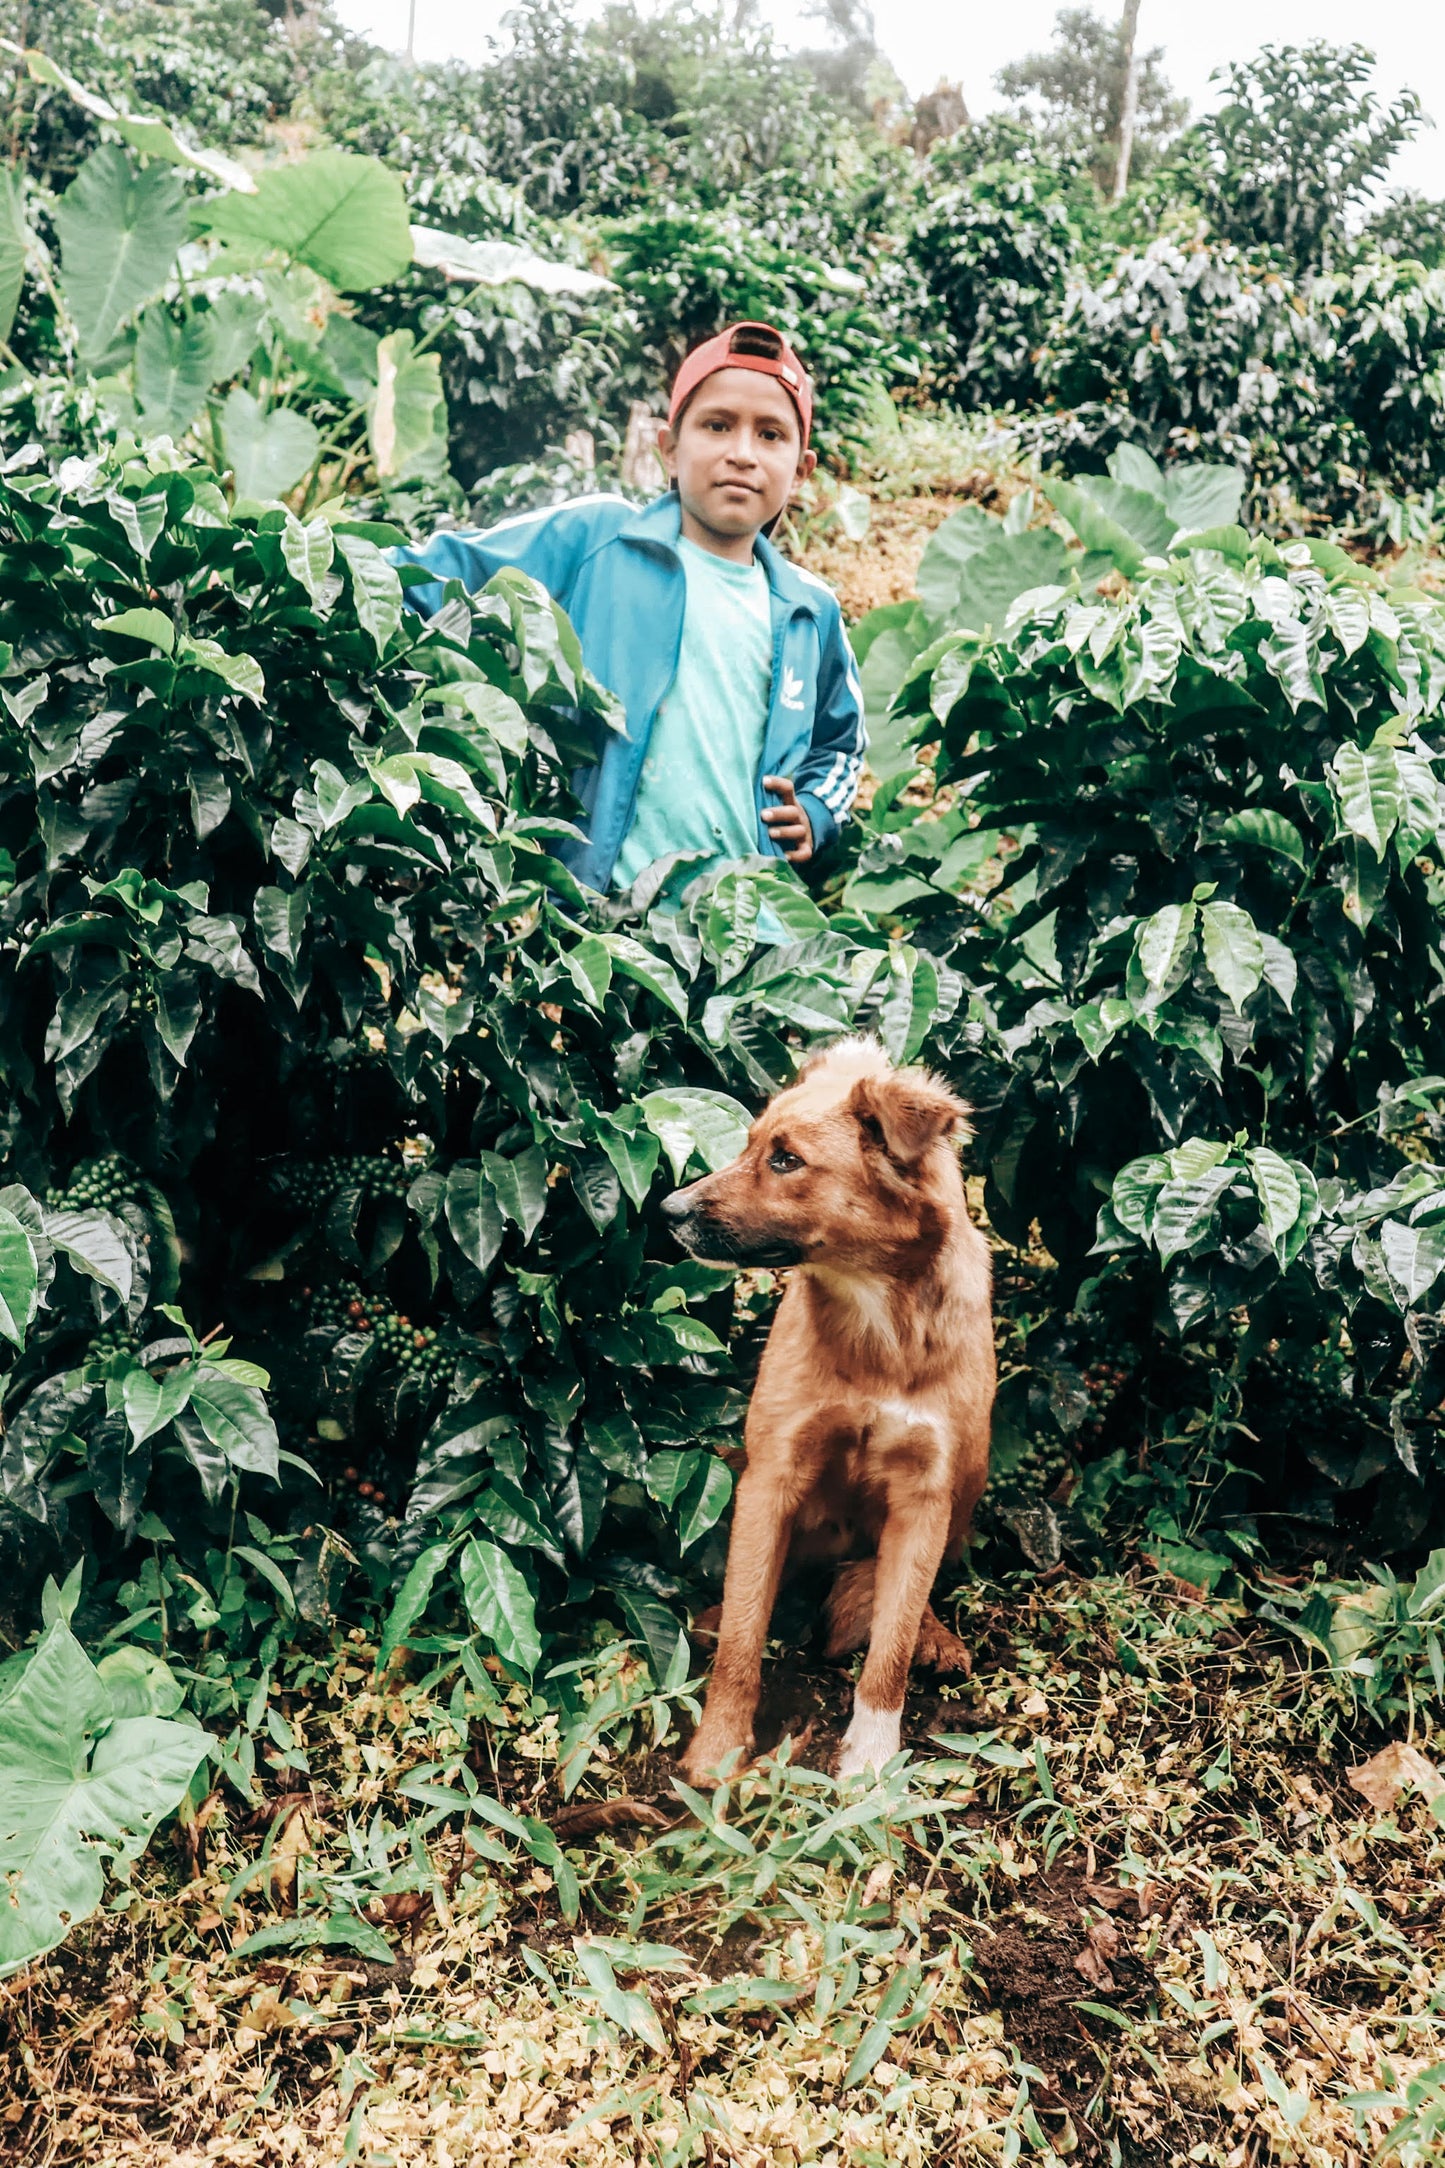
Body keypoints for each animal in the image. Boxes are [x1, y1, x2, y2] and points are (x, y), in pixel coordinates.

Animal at [662, 1031, 996, 1777]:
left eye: (786, 1160)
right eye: (749, 1145)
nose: (668, 1212)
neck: (878, 1327)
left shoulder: (925, 1494)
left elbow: (889, 1650)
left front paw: (871, 1763)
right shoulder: (771, 1475)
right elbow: (744, 1632)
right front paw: (718, 1751)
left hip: (968, 1486)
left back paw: (937, 1637)